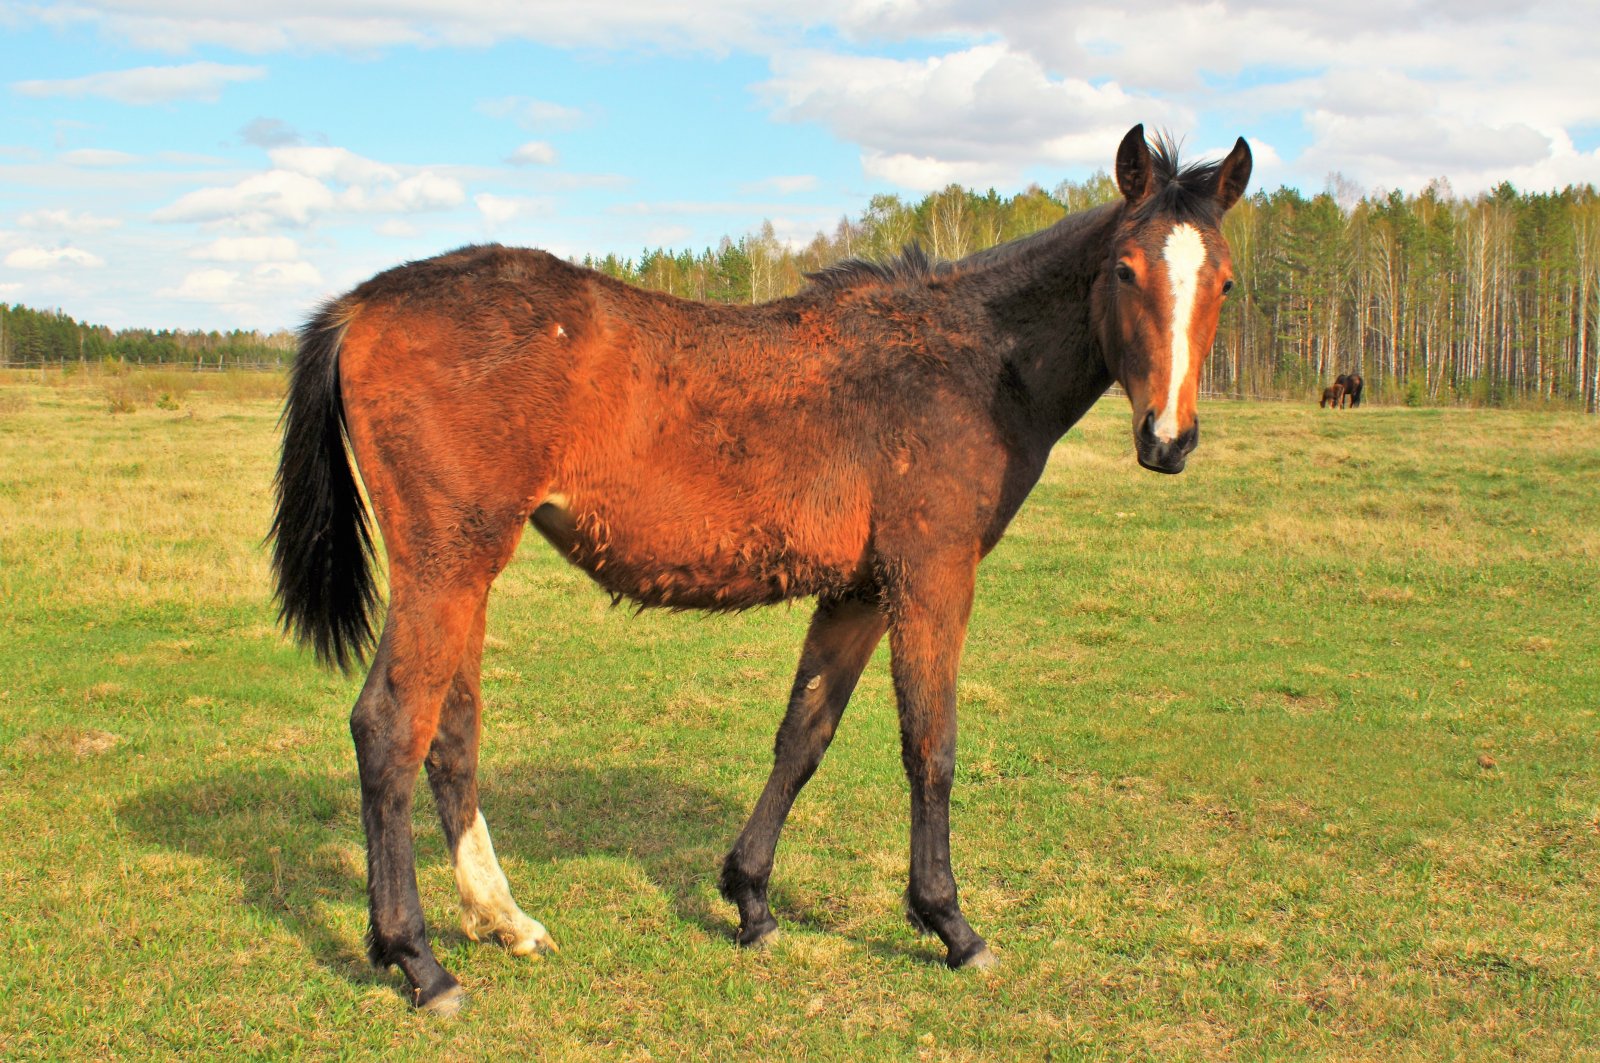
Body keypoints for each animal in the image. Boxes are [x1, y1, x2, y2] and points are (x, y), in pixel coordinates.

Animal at [269, 124, 1251, 1014]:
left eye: (1225, 282)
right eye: (1125, 270)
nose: (1168, 439)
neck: (970, 362)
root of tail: (362, 304)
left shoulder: (859, 594)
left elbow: (803, 735)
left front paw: (750, 899)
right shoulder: (931, 577)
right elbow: (930, 747)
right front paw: (950, 924)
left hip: (467, 572)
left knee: (450, 732)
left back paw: (502, 919)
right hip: (446, 564)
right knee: (389, 727)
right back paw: (419, 961)